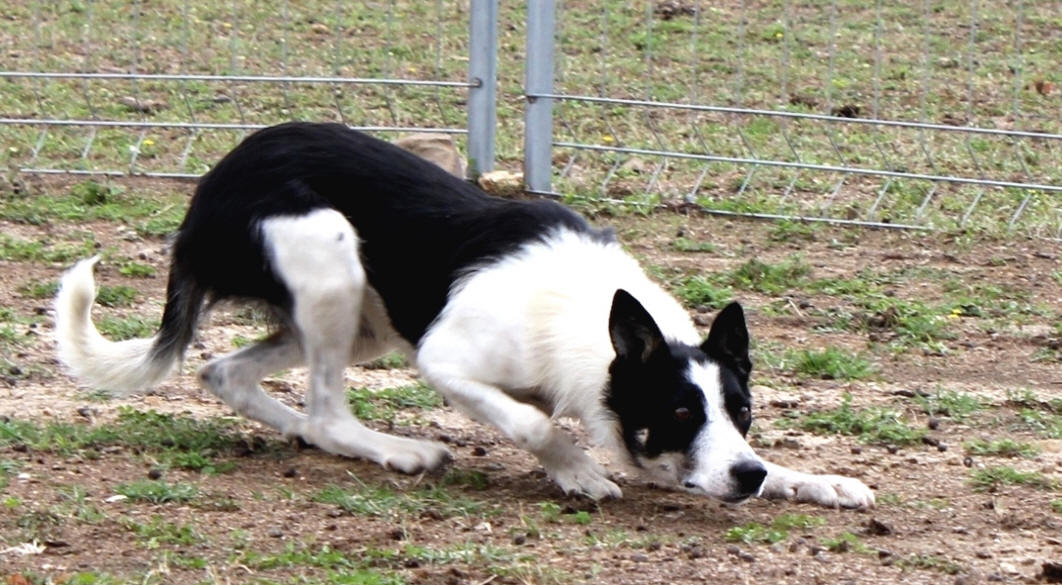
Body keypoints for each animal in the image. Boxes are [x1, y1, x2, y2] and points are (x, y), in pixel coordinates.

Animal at [53, 122, 870, 507]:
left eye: (742, 411)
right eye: (675, 413)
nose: (747, 477)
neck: (581, 314)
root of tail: (208, 190)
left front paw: (814, 479)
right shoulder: (445, 361)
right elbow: (536, 422)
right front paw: (577, 471)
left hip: (363, 321)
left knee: (226, 372)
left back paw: (305, 434)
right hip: (332, 259)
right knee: (324, 408)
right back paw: (392, 449)